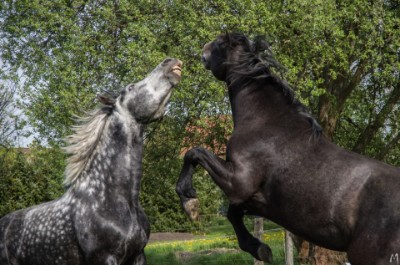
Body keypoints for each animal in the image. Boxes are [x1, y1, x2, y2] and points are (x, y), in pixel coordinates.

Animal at [177, 32, 400, 264]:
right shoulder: (255, 199)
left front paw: (190, 203)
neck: (265, 122)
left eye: (220, 43)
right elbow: (232, 213)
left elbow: (194, 153)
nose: (203, 50)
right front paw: (259, 249)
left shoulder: (239, 182)